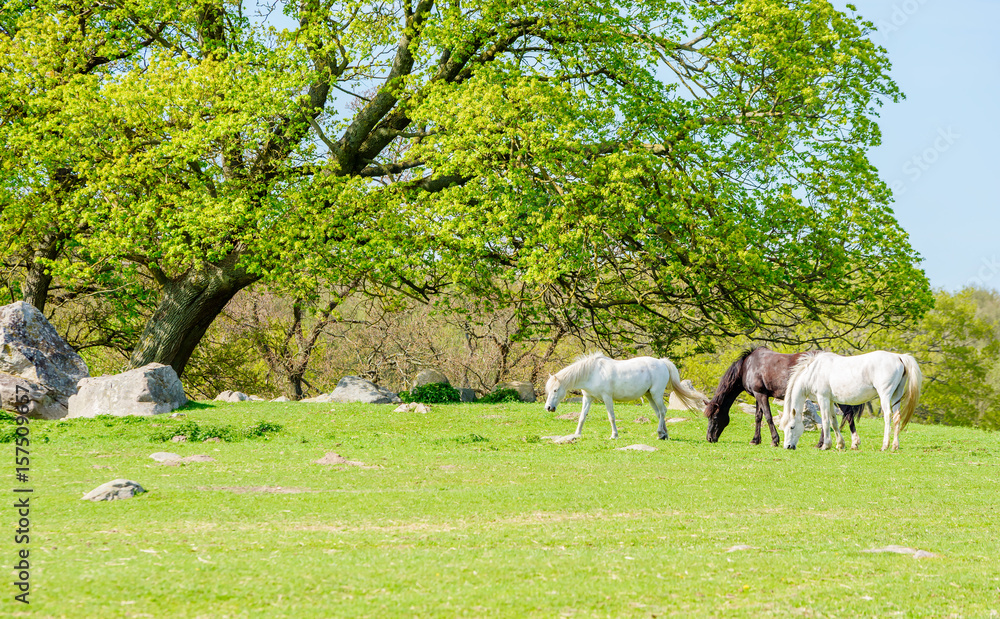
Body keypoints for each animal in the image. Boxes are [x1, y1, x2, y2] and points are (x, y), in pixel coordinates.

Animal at [544, 352, 706, 441]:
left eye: (556, 390)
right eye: (548, 390)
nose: (548, 408)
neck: (592, 372)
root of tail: (662, 362)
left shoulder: (607, 398)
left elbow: (611, 417)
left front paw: (614, 435)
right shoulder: (588, 398)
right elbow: (582, 416)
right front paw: (577, 434)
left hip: (656, 394)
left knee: (663, 411)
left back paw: (660, 433)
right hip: (650, 396)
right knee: (659, 413)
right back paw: (664, 434)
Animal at [704, 347, 866, 448]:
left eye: (714, 417)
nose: (709, 438)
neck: (748, 366)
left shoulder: (761, 395)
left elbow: (768, 417)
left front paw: (774, 440)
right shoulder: (758, 395)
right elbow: (758, 417)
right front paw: (755, 440)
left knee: (847, 415)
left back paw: (849, 443)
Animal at [779, 351, 922, 451]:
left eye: (792, 427)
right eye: (783, 428)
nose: (788, 446)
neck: (813, 372)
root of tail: (898, 357)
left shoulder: (823, 398)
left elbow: (825, 421)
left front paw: (826, 445)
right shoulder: (830, 401)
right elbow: (834, 422)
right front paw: (840, 444)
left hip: (885, 395)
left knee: (888, 416)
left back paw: (885, 445)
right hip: (896, 396)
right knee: (897, 417)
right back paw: (894, 446)